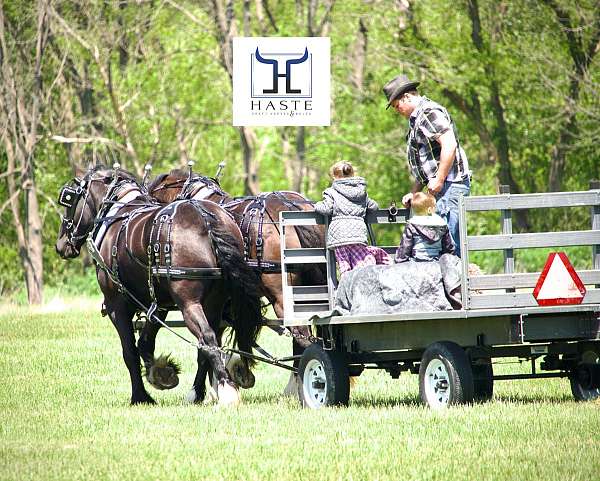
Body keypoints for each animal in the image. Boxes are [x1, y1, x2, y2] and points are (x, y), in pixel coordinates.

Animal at [55, 165, 262, 404]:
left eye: (68, 199)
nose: (61, 244)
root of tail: (206, 218)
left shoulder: (117, 306)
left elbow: (130, 351)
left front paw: (140, 396)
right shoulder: (159, 304)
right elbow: (145, 343)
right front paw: (162, 373)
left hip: (188, 303)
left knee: (207, 337)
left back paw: (225, 390)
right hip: (214, 302)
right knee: (209, 343)